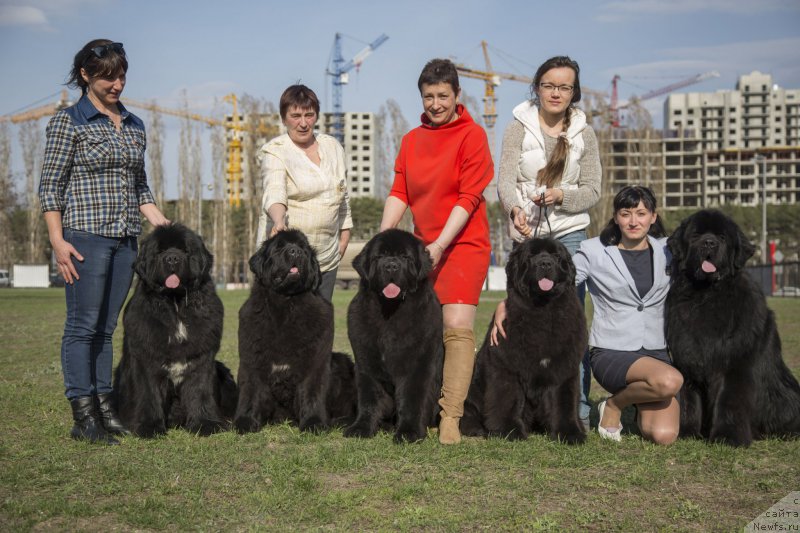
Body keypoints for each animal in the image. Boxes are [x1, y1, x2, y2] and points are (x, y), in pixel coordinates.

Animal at [115, 224, 238, 436]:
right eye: (160, 251)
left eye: (184, 250)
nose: (172, 258)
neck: (175, 305)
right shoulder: (146, 358)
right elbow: (148, 393)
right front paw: (149, 427)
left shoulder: (202, 358)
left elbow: (200, 390)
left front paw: (205, 423)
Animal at [233, 229, 354, 432]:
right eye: (279, 247)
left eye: (303, 248)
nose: (295, 252)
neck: (285, 305)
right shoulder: (252, 357)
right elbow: (251, 388)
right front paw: (245, 421)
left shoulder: (315, 360)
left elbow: (312, 390)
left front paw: (314, 422)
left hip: (342, 361)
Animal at [344, 229, 444, 440]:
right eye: (380, 257)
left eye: (405, 257)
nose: (391, 265)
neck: (390, 312)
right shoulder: (367, 363)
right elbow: (369, 399)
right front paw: (361, 428)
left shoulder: (418, 365)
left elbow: (412, 399)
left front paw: (409, 432)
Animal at [460, 237, 584, 440]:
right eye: (532, 256)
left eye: (556, 256)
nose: (545, 263)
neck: (543, 311)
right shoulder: (507, 367)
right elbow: (507, 400)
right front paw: (509, 430)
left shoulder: (563, 370)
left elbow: (564, 403)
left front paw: (570, 433)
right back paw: (476, 428)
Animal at [668, 209, 800, 444]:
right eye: (696, 235)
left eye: (722, 237)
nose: (709, 243)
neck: (706, 295)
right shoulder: (686, 357)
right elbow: (687, 400)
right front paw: (685, 432)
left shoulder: (735, 362)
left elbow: (729, 399)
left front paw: (727, 437)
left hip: (783, 396)